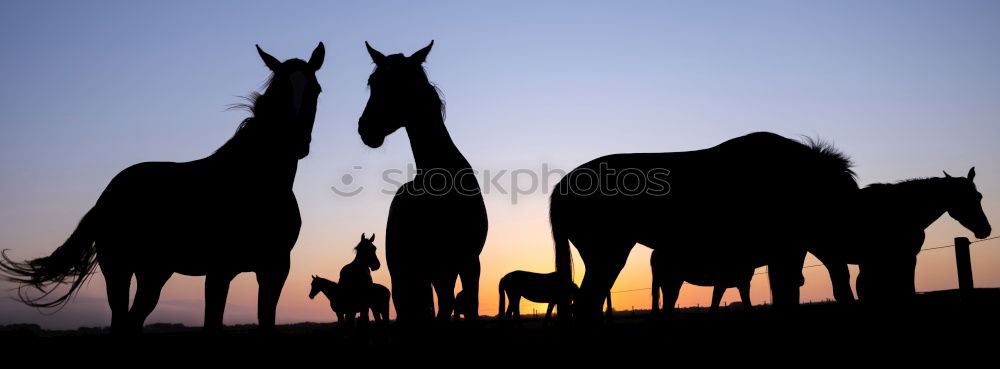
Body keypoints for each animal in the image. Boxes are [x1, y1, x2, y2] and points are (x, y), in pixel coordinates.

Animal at [0, 43, 324, 334]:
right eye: (279, 90)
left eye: (315, 90)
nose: (295, 142)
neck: (257, 185)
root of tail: (106, 196)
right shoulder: (219, 271)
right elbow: (212, 324)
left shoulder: (275, 270)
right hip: (117, 268)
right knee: (120, 322)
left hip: (153, 273)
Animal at [360, 41, 488, 322]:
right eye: (372, 81)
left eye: (401, 82)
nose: (365, 128)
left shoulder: (468, 263)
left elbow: (467, 307)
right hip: (406, 273)